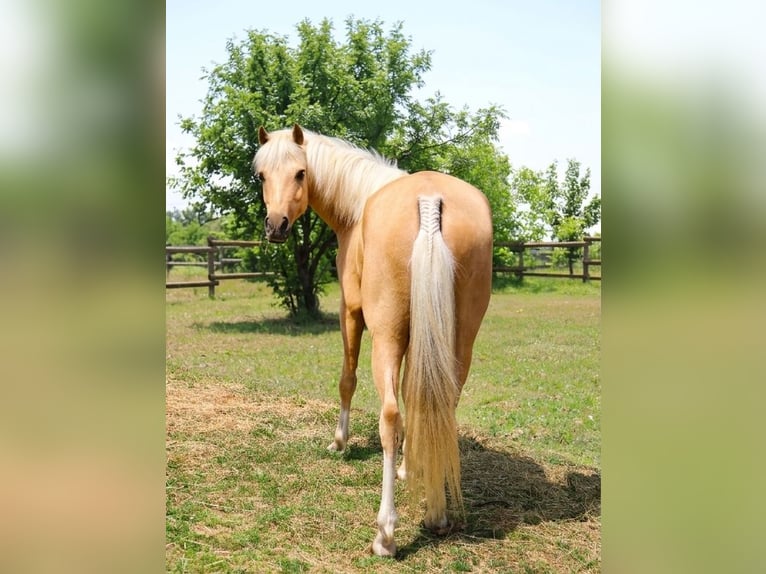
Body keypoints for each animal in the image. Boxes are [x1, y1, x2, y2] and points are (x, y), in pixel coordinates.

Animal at [253, 124, 493, 557]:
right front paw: (409, 467)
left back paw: (386, 533)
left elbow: (348, 381)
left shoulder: (351, 312)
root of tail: (430, 200)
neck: (358, 205)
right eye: (262, 176)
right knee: (440, 405)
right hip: (458, 340)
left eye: (300, 173)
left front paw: (340, 443)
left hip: (386, 337)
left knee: (390, 416)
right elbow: (417, 396)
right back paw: (437, 513)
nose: (276, 226)